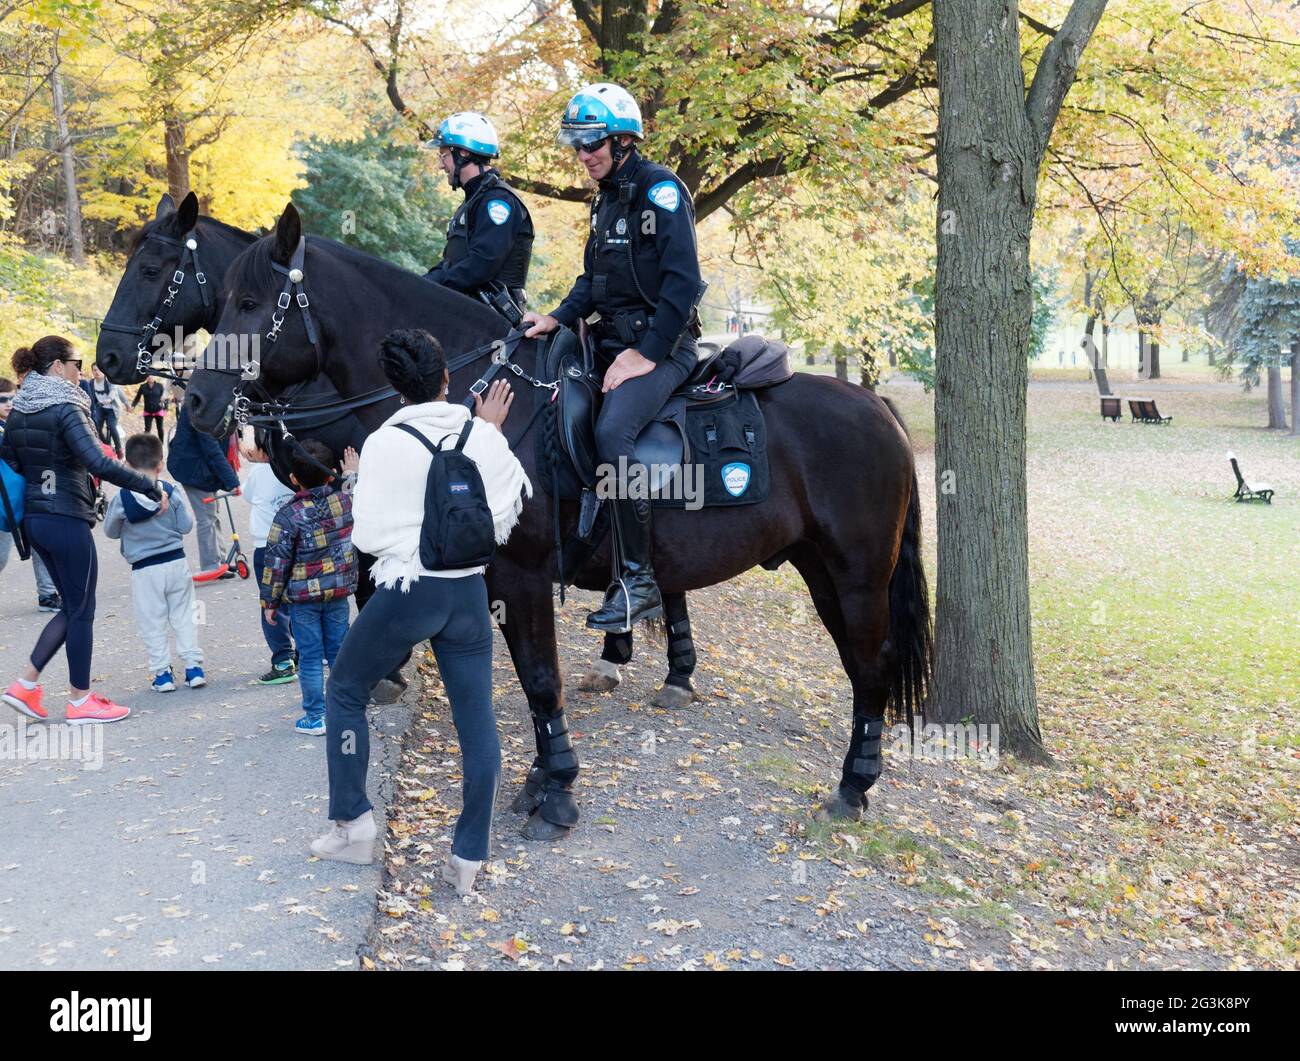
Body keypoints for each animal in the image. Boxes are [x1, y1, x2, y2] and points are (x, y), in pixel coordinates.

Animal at [185, 202, 935, 842]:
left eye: (250, 303)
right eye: (219, 299)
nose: (195, 402)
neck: (481, 402)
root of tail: (877, 407)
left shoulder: (521, 578)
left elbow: (542, 680)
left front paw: (560, 793)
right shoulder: (494, 581)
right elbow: (526, 677)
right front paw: (542, 780)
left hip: (858, 576)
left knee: (872, 664)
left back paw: (852, 786)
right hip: (822, 571)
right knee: (862, 667)